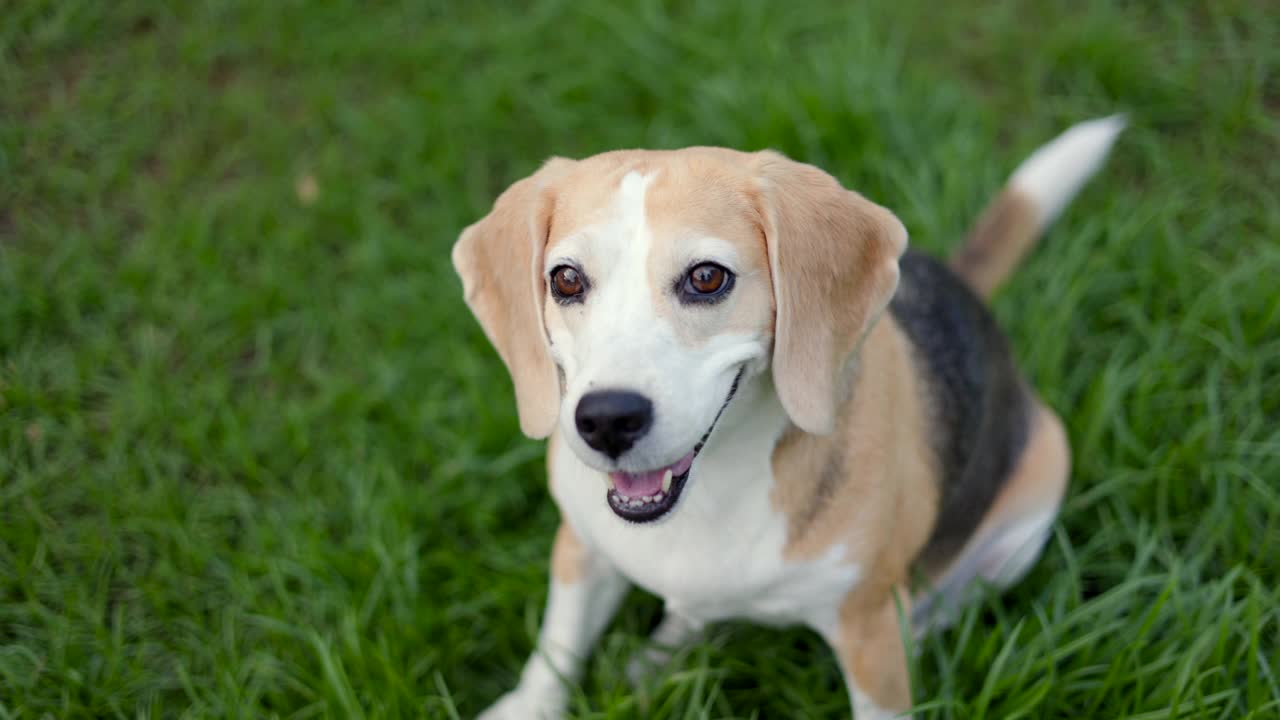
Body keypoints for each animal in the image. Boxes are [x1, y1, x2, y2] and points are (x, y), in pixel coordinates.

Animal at [455, 114, 1126, 712]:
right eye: (566, 280)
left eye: (707, 278)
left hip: (1024, 529)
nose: (606, 420)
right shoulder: (580, 549)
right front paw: (527, 705)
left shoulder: (868, 634)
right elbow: (557, 649)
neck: (714, 486)